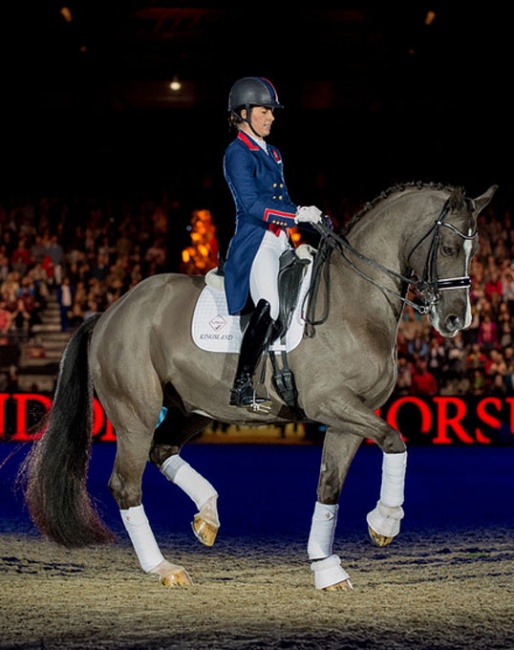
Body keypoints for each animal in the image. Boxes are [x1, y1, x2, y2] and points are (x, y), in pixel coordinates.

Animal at [20, 180, 496, 588]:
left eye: (474, 251)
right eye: (449, 247)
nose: (456, 320)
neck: (353, 301)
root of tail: (111, 311)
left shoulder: (349, 417)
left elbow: (330, 485)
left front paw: (326, 568)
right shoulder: (330, 403)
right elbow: (396, 440)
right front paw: (384, 522)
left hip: (193, 407)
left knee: (163, 450)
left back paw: (207, 517)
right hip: (135, 413)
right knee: (126, 484)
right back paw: (163, 567)